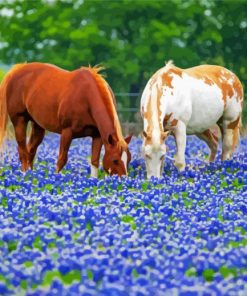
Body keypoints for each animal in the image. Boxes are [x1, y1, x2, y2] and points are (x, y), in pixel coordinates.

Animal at [0, 62, 132, 176]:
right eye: (115, 160)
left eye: (129, 159)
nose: (123, 180)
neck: (87, 97)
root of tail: (18, 69)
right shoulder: (67, 132)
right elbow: (61, 159)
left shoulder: (97, 135)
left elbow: (94, 161)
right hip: (19, 120)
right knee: (22, 151)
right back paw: (25, 175)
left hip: (38, 125)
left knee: (31, 150)